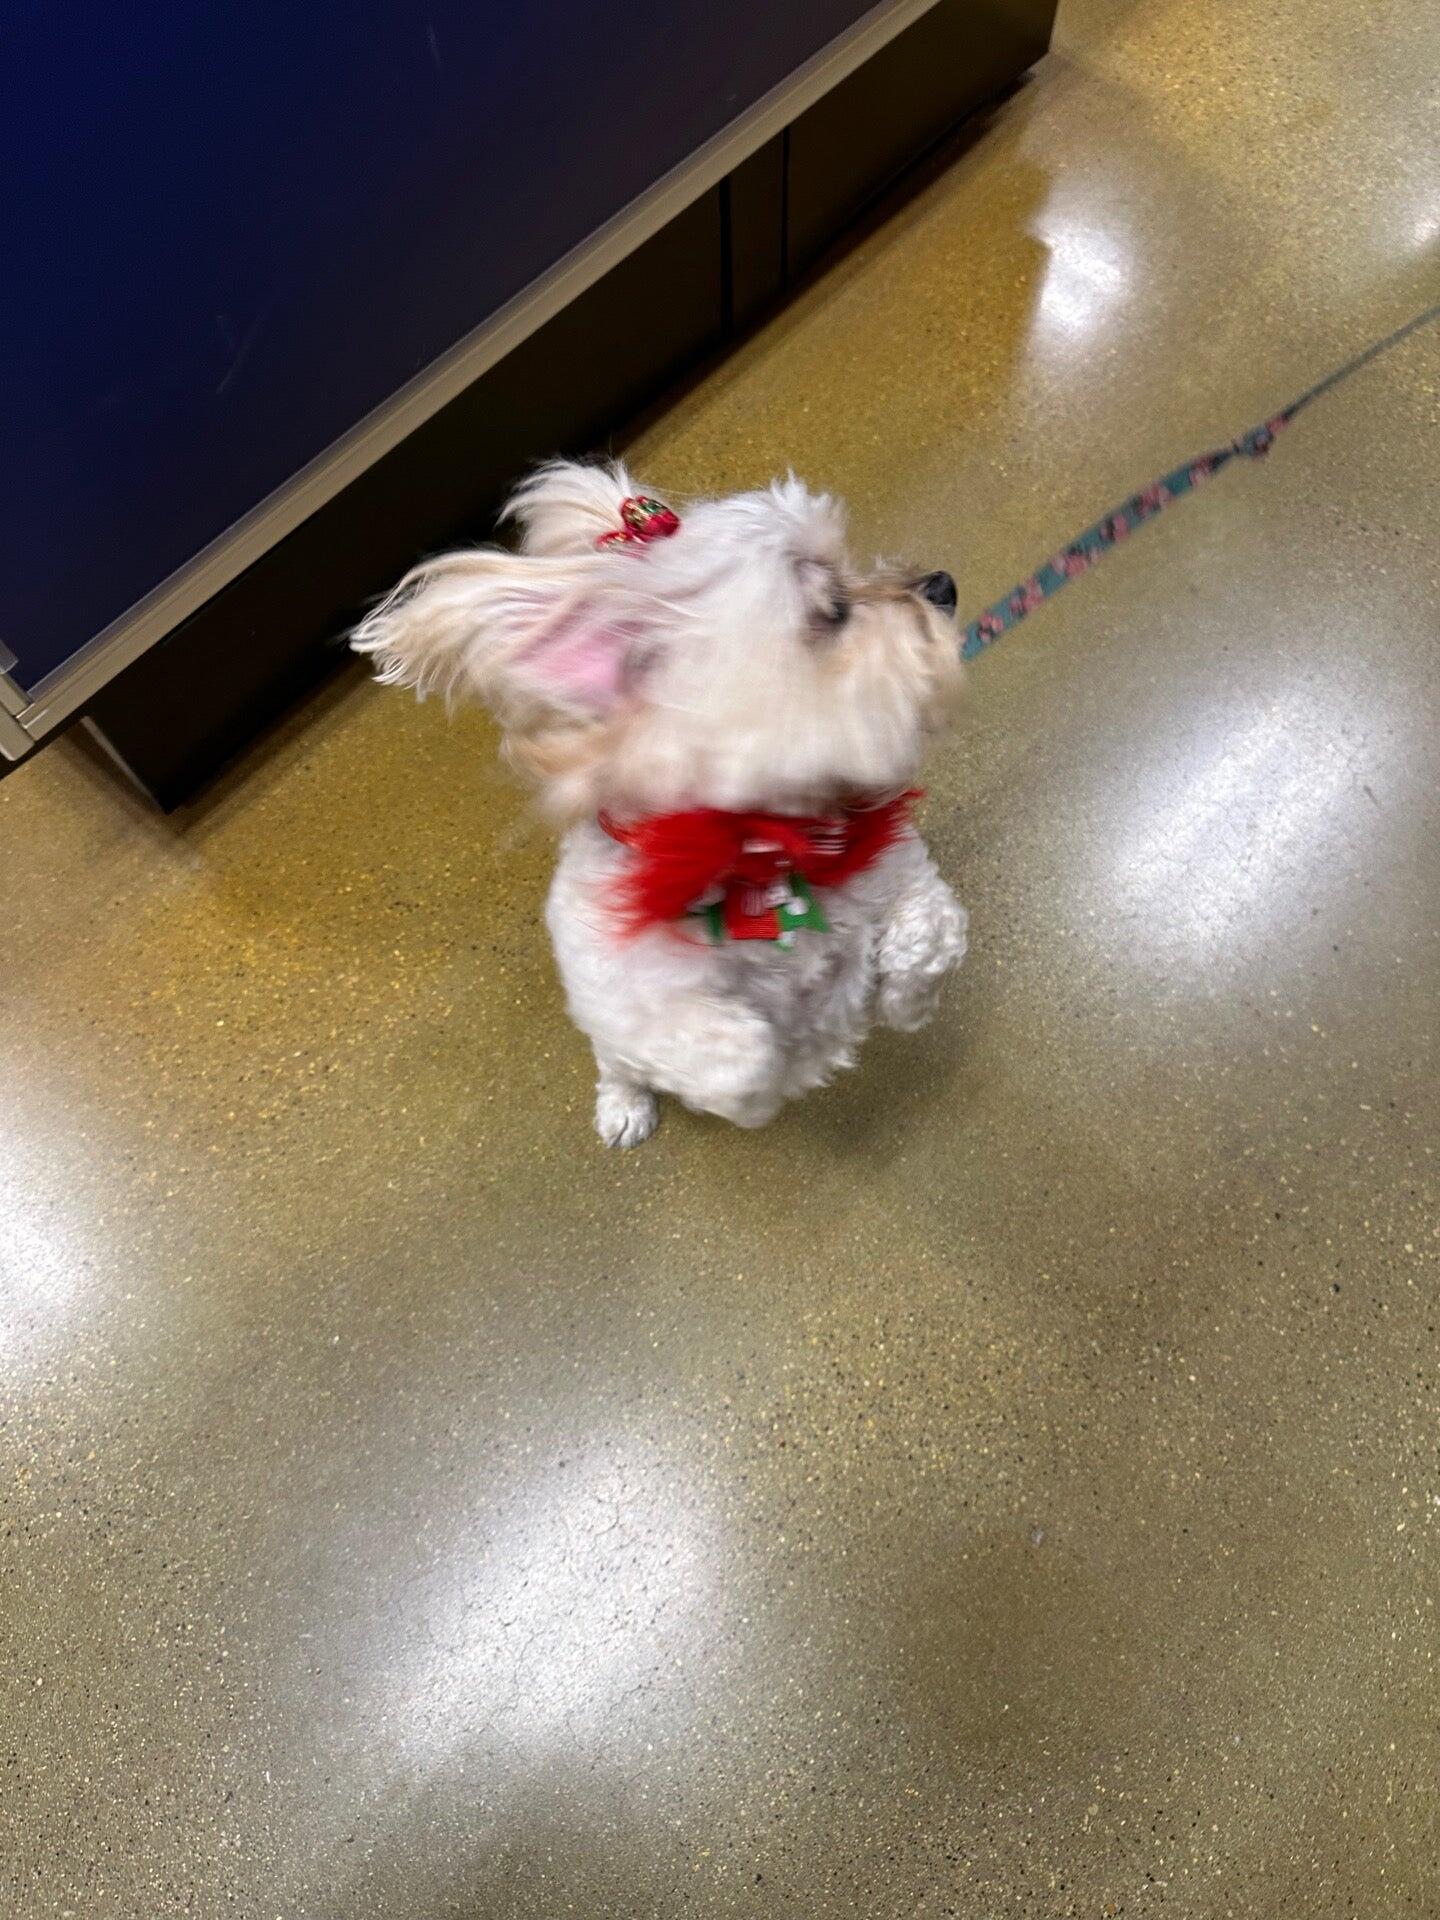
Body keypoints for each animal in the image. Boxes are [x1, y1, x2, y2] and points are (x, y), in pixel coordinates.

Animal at [353, 459, 967, 1145]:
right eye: (832, 610)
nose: (943, 584)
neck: (760, 852)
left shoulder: (900, 872)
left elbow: (932, 932)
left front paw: (903, 1002)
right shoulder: (641, 1009)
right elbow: (743, 1058)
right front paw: (794, 1063)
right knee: (618, 1064)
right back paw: (624, 1105)